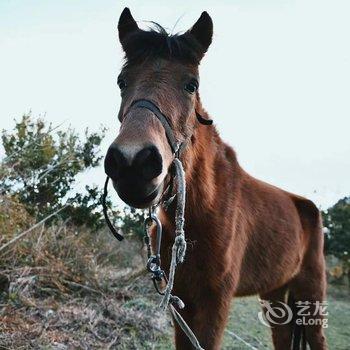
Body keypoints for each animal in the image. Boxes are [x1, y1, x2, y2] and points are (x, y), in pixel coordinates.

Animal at [104, 8, 328, 350]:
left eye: (191, 84)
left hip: (312, 294)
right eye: (121, 81)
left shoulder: (215, 301)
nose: (133, 162)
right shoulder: (181, 301)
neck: (204, 209)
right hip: (276, 294)